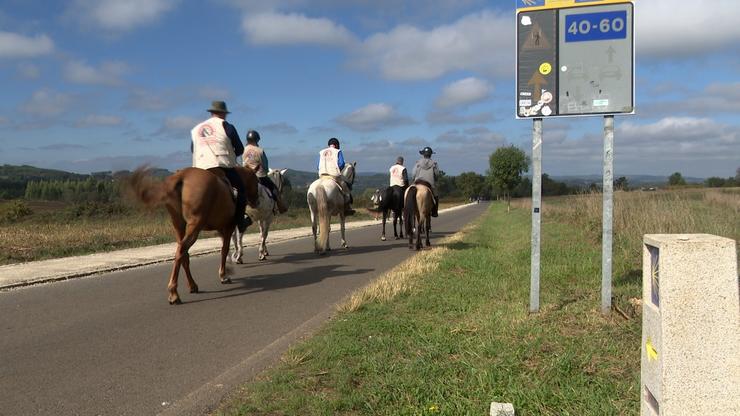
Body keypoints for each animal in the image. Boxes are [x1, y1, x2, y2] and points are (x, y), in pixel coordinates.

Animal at [129, 167, 260, 306]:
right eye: (257, 181)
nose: (257, 201)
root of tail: (182, 175)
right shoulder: (228, 228)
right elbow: (224, 251)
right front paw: (223, 275)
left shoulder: (221, 229)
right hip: (195, 226)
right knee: (181, 251)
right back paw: (174, 293)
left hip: (179, 225)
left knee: (183, 254)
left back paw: (192, 285)